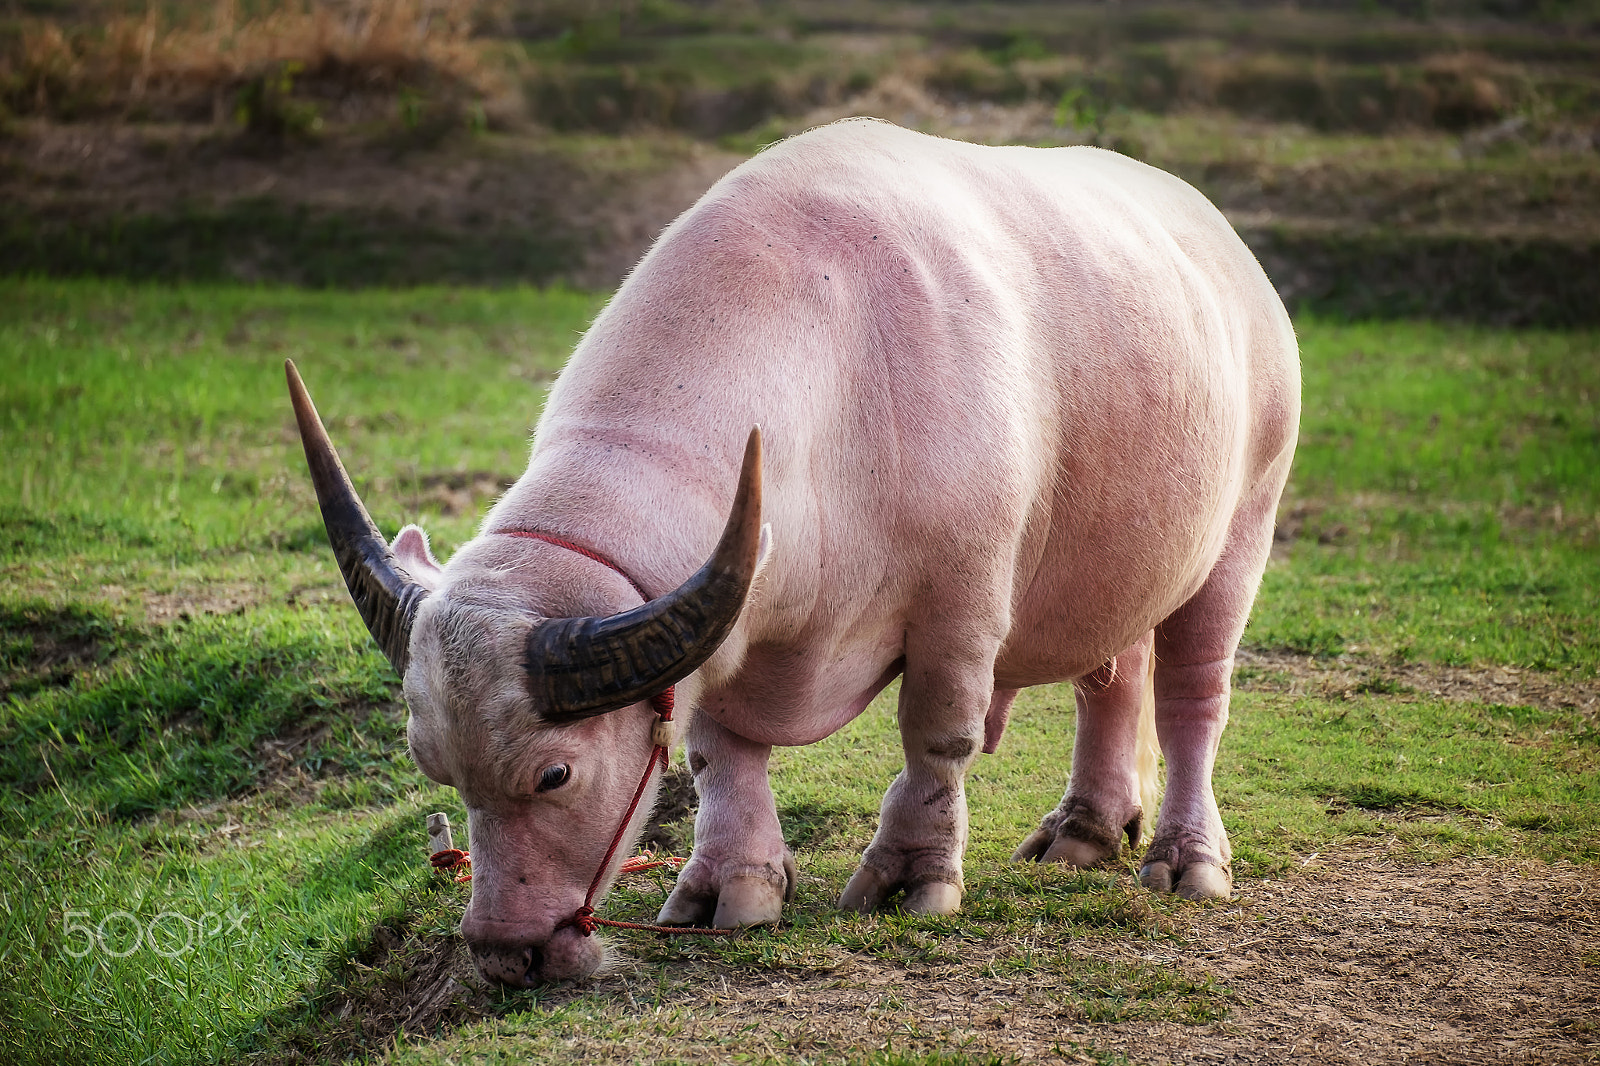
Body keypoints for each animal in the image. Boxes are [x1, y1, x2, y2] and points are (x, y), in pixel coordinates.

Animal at [288, 118, 1299, 985]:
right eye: (432, 763)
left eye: (554, 773)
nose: (506, 954)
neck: (838, 379)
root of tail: (1236, 261)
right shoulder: (718, 636)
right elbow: (718, 756)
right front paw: (726, 885)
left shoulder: (961, 602)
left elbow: (938, 735)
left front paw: (913, 876)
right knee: (1112, 676)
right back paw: (1085, 831)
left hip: (1243, 527)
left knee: (1192, 698)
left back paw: (1184, 857)